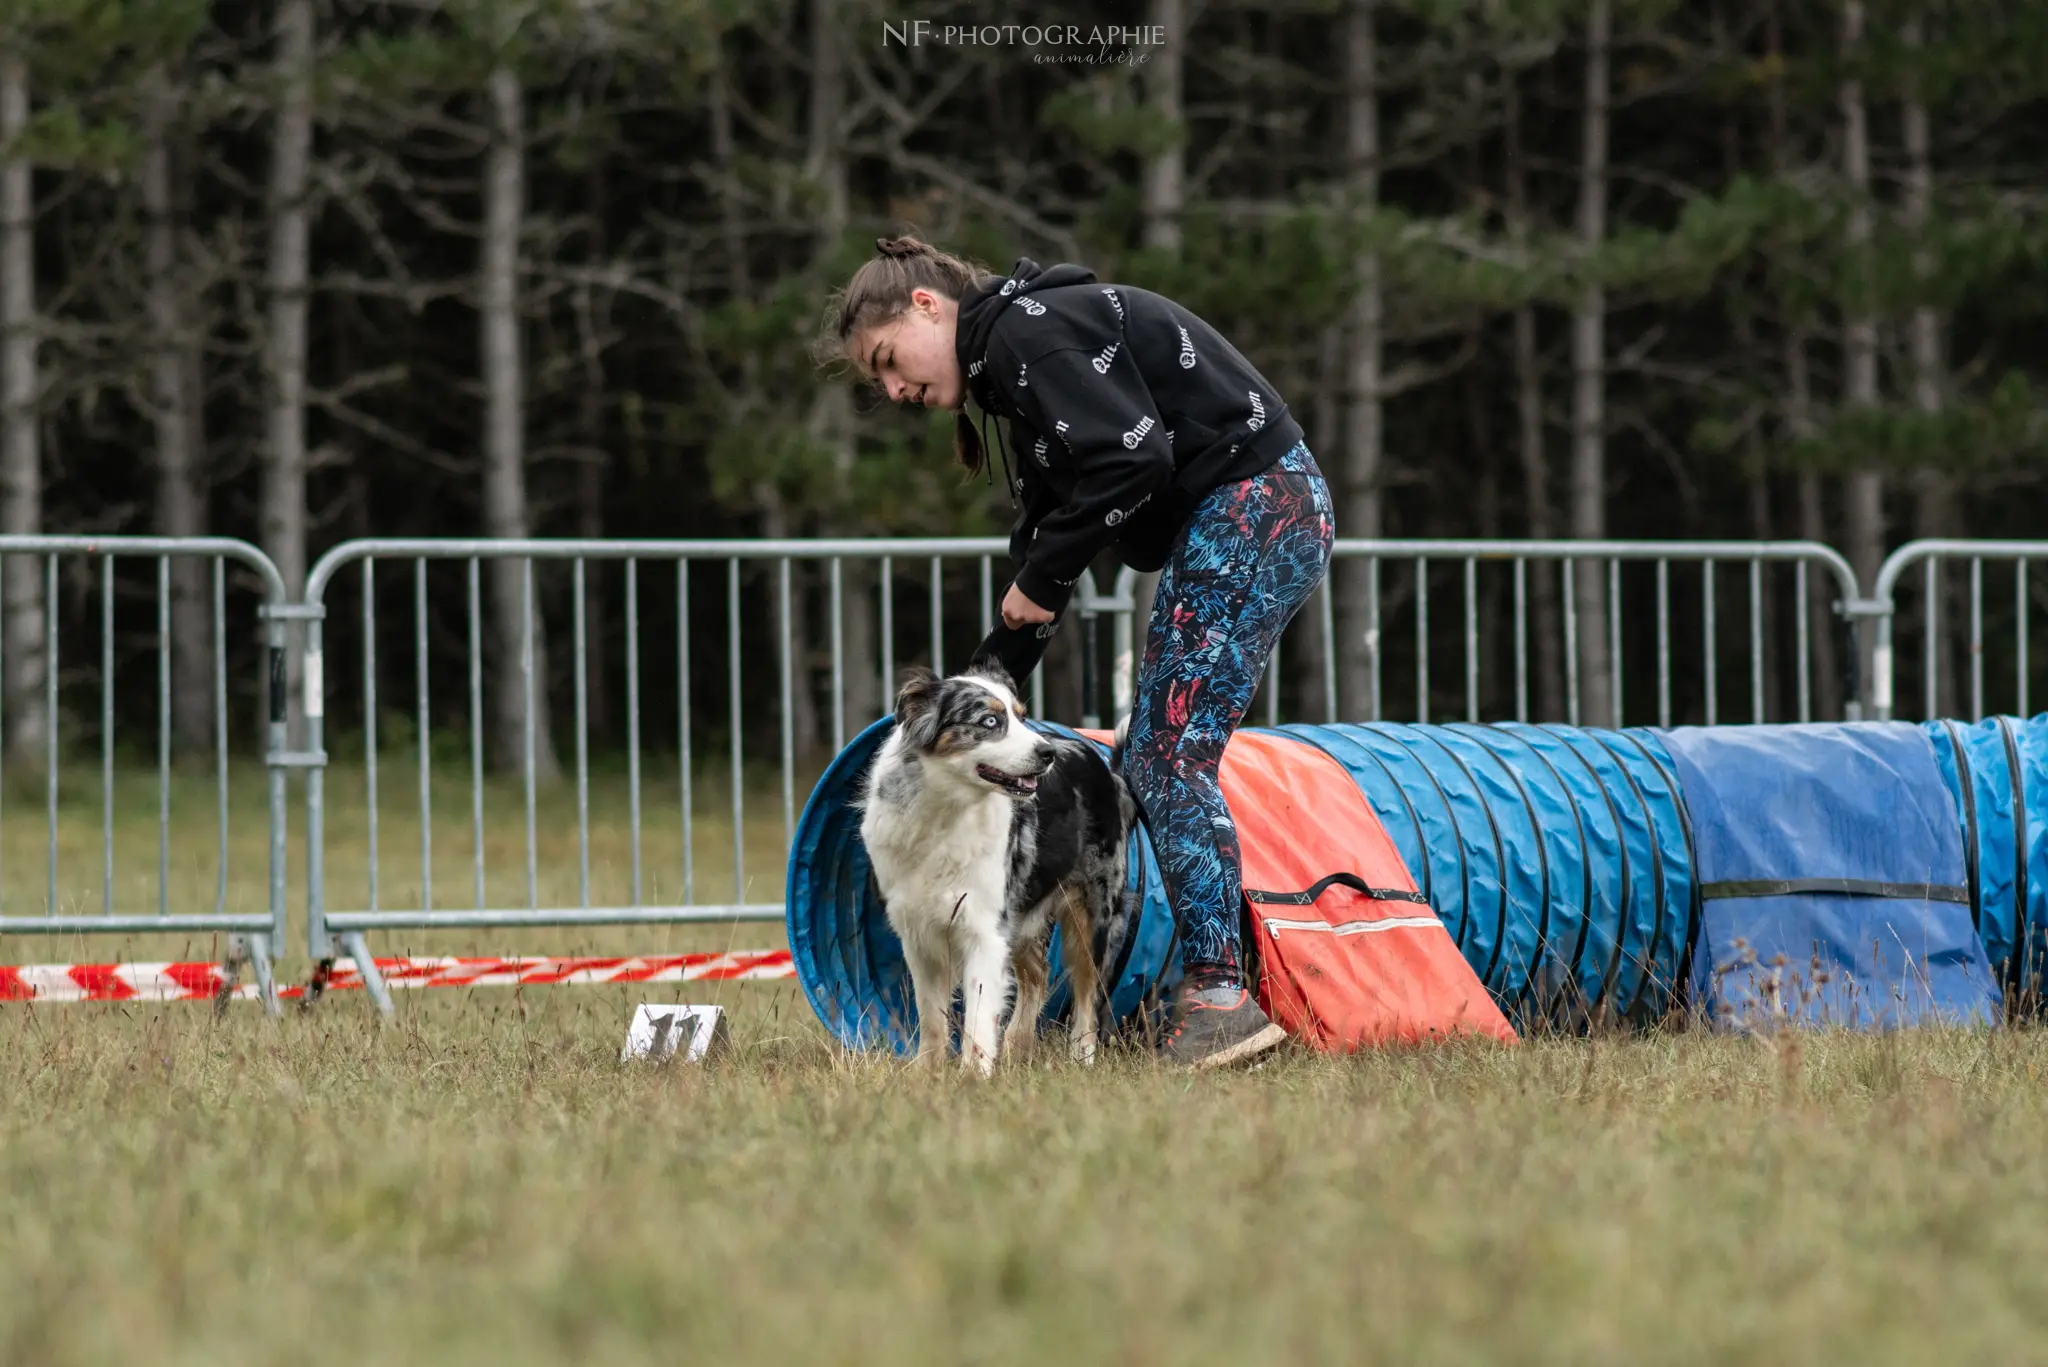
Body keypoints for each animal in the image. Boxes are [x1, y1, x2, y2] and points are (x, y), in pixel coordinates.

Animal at [851, 664, 1138, 1082]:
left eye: (1022, 717)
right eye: (989, 721)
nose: (1047, 753)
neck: (945, 810)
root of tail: (1106, 767)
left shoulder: (984, 928)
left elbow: (978, 1014)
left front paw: (973, 1077)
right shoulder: (918, 933)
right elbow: (931, 1015)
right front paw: (927, 1074)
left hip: (1092, 911)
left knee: (1087, 994)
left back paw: (1080, 1061)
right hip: (1022, 915)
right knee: (1038, 974)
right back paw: (1017, 1049)